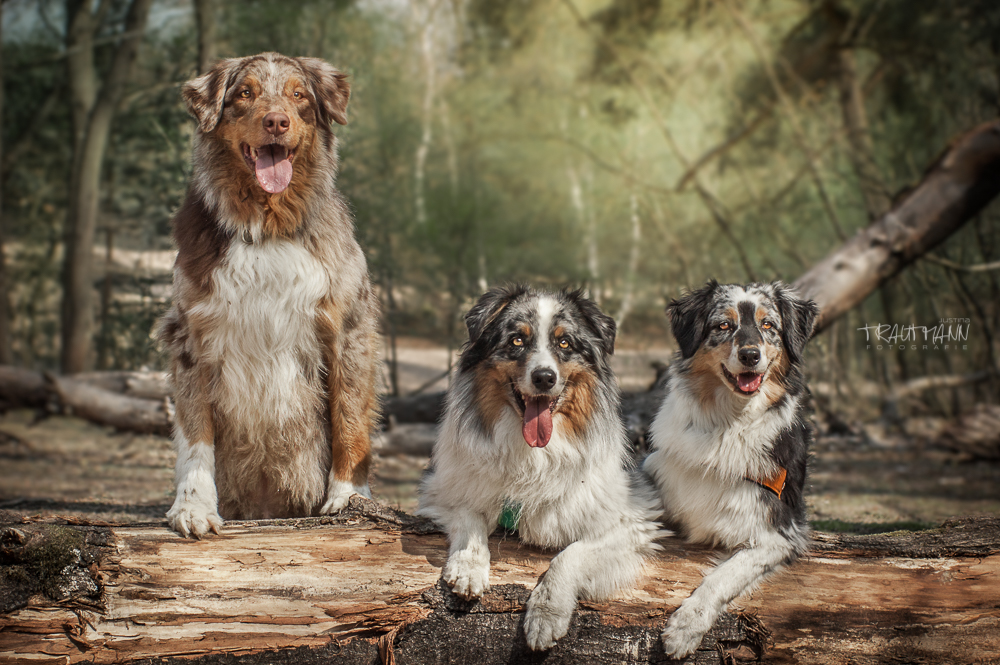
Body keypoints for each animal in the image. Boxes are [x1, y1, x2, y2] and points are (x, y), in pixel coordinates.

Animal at [158, 53, 380, 540]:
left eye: (299, 94)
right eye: (245, 93)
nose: (277, 121)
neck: (268, 225)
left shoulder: (349, 327)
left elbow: (350, 419)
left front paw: (349, 498)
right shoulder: (189, 336)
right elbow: (194, 432)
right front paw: (193, 506)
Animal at [416, 284, 660, 648]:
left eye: (565, 343)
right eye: (517, 340)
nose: (544, 377)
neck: (533, 453)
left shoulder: (633, 523)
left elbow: (571, 554)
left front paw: (547, 611)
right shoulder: (438, 491)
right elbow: (469, 516)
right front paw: (469, 565)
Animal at [644, 278, 816, 656]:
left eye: (769, 325)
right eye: (723, 325)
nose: (750, 355)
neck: (728, 426)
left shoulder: (779, 533)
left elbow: (724, 576)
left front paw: (686, 626)